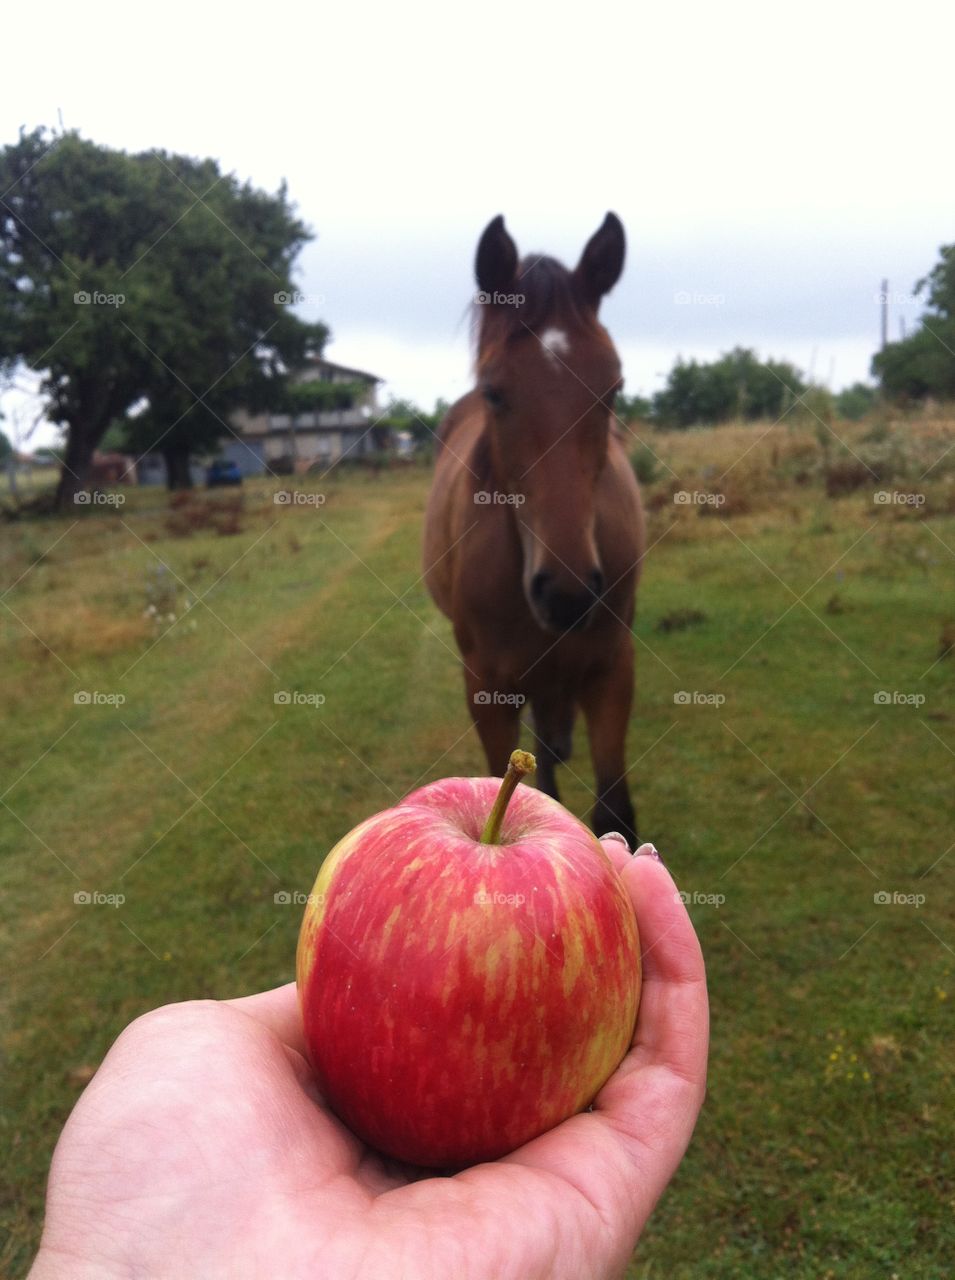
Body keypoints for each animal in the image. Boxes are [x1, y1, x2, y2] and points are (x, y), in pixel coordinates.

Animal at [423, 212, 645, 846]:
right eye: (495, 392)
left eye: (613, 389)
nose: (567, 592)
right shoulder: (486, 691)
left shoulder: (611, 668)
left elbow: (614, 814)